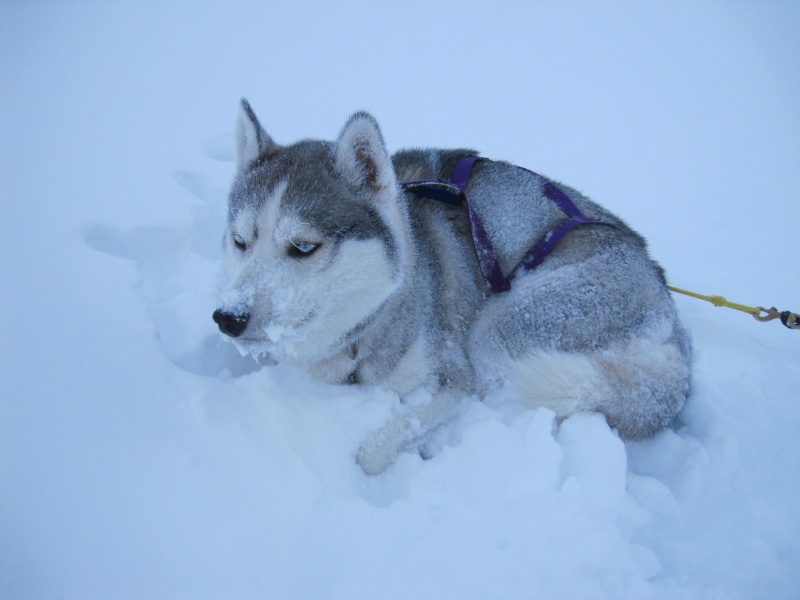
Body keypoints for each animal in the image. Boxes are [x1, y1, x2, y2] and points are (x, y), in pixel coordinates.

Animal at [212, 98, 688, 474]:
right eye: (240, 241)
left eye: (303, 247)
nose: (227, 318)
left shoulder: (455, 376)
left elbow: (381, 444)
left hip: (504, 323)